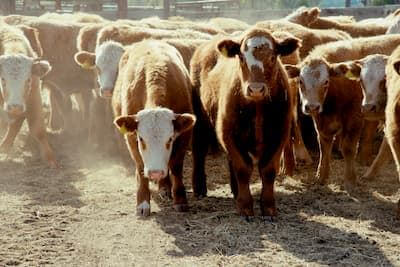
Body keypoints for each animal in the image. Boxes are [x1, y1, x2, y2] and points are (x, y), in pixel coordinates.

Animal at [112, 40, 195, 218]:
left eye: (170, 138)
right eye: (141, 139)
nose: (156, 172)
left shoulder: (184, 135)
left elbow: (175, 166)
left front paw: (180, 200)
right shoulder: (131, 138)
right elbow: (140, 167)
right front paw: (143, 203)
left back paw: (165, 187)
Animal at [191, 28, 300, 219]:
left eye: (273, 57)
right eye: (241, 57)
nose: (256, 89)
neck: (257, 107)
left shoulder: (279, 135)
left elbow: (268, 171)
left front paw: (268, 206)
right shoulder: (227, 132)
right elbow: (242, 169)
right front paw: (245, 206)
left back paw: (235, 190)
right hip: (201, 121)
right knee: (199, 150)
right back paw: (199, 187)